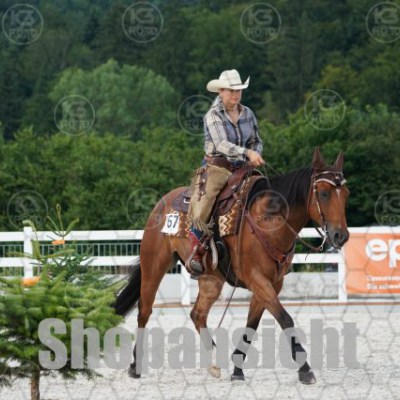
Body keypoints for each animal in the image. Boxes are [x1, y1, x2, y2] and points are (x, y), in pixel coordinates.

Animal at [114, 147, 350, 384]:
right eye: (324, 193)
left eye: (346, 193)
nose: (341, 236)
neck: (268, 221)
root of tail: (163, 202)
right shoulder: (257, 279)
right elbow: (285, 318)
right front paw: (305, 369)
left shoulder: (272, 284)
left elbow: (252, 324)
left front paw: (237, 369)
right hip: (154, 266)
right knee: (144, 311)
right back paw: (135, 366)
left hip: (211, 280)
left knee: (197, 314)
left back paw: (214, 361)